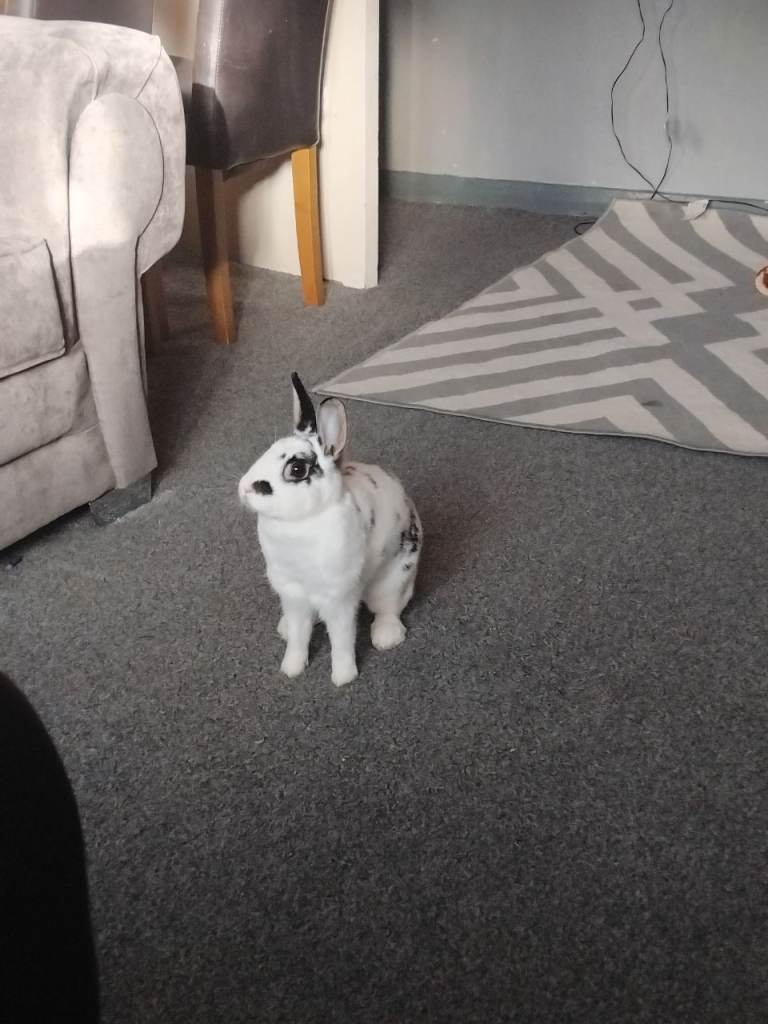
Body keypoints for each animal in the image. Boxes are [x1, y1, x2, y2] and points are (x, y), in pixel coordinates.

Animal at [238, 373, 422, 686]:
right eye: (267, 452)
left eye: (297, 469)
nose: (244, 488)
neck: (302, 521)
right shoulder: (292, 593)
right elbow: (298, 636)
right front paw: (291, 668)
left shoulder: (339, 596)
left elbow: (342, 638)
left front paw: (343, 677)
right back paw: (284, 627)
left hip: (393, 581)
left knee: (388, 609)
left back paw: (386, 637)